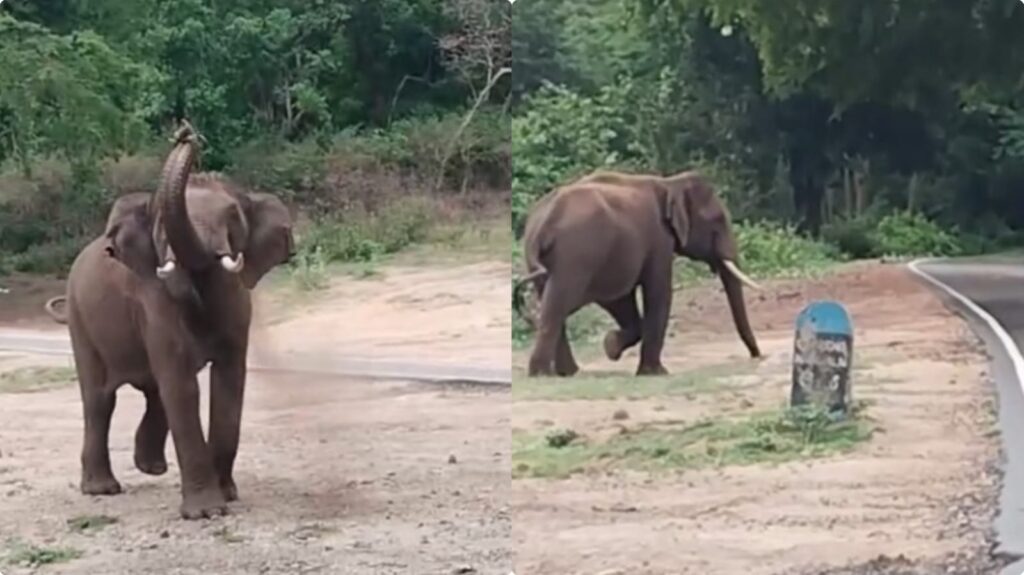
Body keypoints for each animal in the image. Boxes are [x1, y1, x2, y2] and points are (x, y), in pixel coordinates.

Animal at [42, 122, 295, 519]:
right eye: (160, 222)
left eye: (233, 218)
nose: (186, 132)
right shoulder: (153, 298)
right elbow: (181, 382)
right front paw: (207, 512)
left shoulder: (237, 300)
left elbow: (228, 381)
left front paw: (227, 497)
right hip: (81, 322)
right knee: (100, 400)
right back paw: (103, 489)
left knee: (153, 389)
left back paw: (151, 468)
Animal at [513, 169, 762, 377]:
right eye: (717, 221)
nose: (757, 356)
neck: (669, 183)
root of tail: (542, 224)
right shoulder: (659, 239)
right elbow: (659, 293)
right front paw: (655, 372)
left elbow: (620, 299)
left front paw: (610, 346)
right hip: (574, 255)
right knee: (557, 305)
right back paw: (543, 374)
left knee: (552, 303)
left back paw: (567, 373)